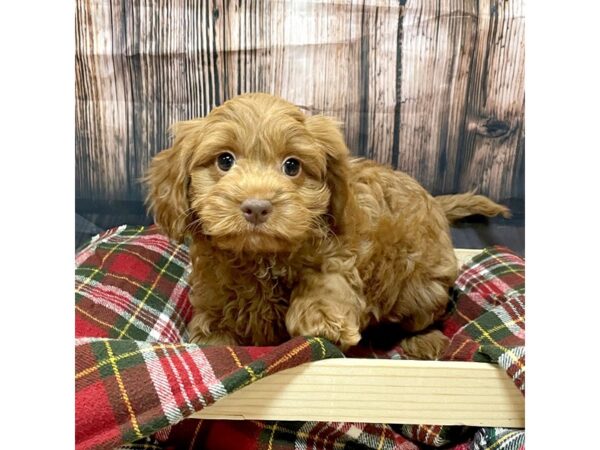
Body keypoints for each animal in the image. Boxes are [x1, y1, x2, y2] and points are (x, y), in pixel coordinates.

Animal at [144, 92, 506, 358]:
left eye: (292, 166)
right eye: (224, 160)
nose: (257, 207)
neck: (261, 259)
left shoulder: (338, 251)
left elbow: (327, 279)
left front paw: (321, 318)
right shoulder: (214, 297)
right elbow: (213, 334)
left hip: (419, 289)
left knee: (422, 314)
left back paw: (424, 340)